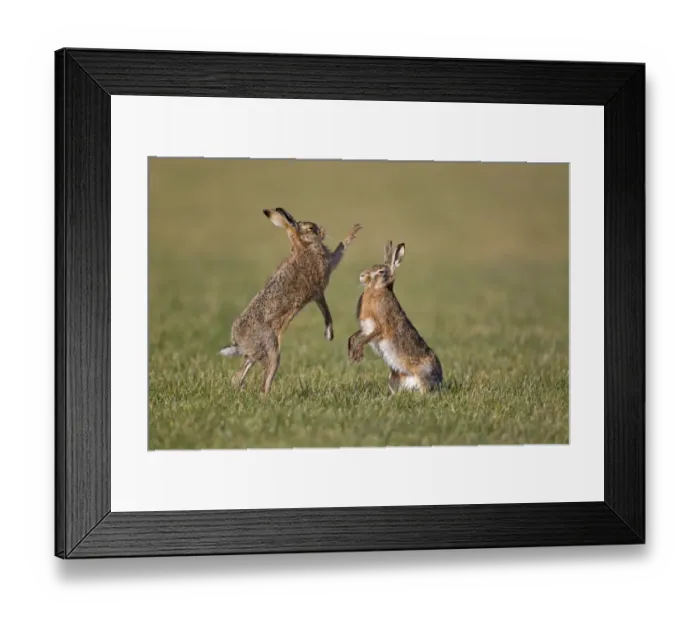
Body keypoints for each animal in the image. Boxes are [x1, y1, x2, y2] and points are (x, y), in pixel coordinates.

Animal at [220, 207, 361, 395]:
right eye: (310, 228)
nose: (323, 231)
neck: (304, 246)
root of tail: (239, 342)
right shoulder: (319, 289)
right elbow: (340, 249)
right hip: (272, 350)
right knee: (265, 379)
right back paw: (266, 397)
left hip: (255, 353)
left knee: (238, 375)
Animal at [348, 241, 443, 394]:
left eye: (381, 272)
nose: (362, 276)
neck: (377, 290)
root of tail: (440, 379)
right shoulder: (366, 328)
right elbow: (355, 336)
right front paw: (351, 352)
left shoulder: (380, 327)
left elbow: (365, 339)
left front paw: (357, 355)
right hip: (393, 377)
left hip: (422, 374)